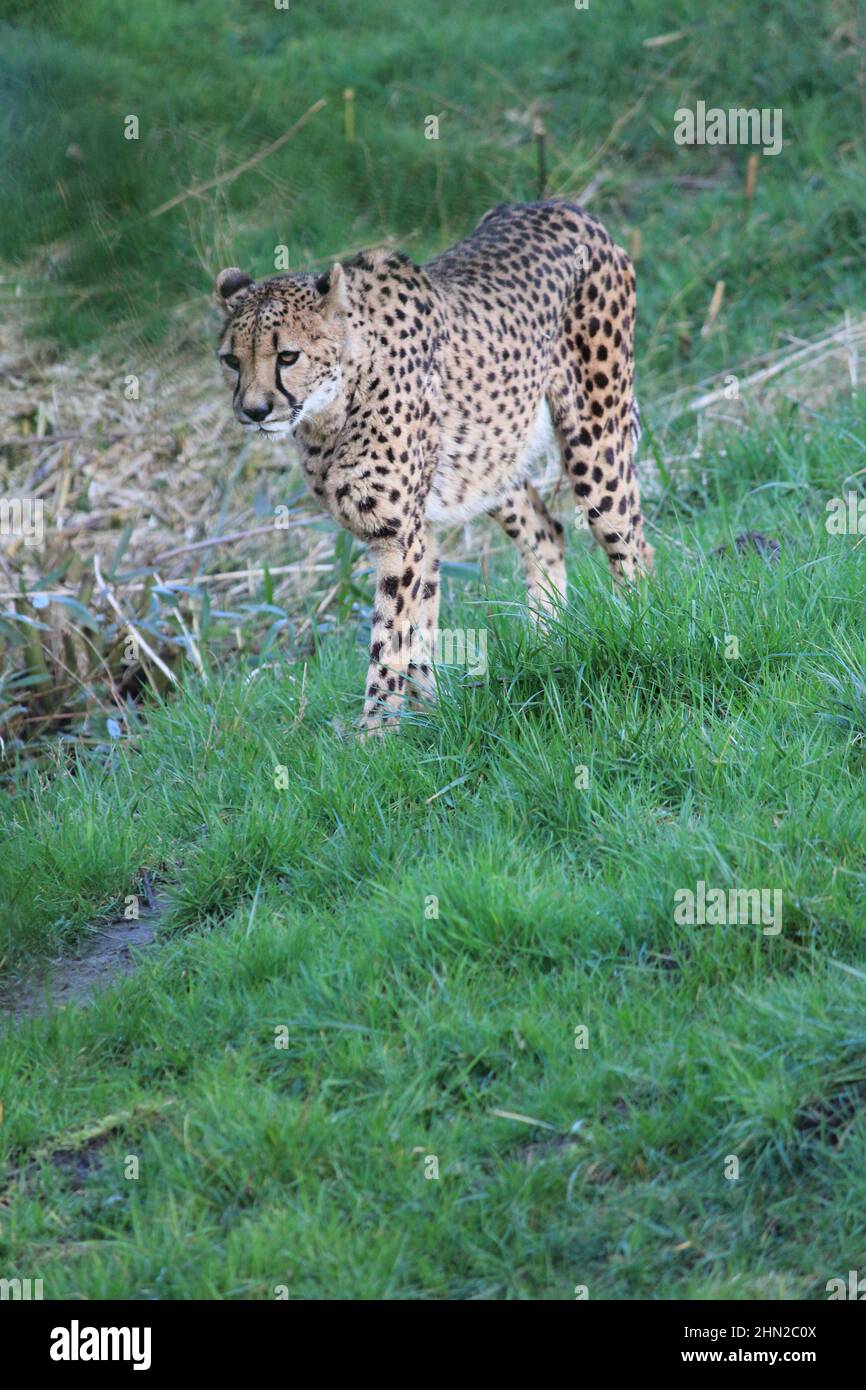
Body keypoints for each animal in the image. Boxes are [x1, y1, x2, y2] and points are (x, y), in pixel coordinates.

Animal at [215, 202, 650, 739]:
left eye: (287, 356)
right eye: (231, 361)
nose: (253, 411)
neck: (333, 404)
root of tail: (565, 207)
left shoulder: (399, 533)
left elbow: (389, 638)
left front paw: (376, 734)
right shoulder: (416, 531)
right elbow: (417, 628)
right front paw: (430, 716)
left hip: (595, 434)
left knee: (630, 539)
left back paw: (636, 627)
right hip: (488, 461)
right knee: (548, 531)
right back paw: (548, 642)